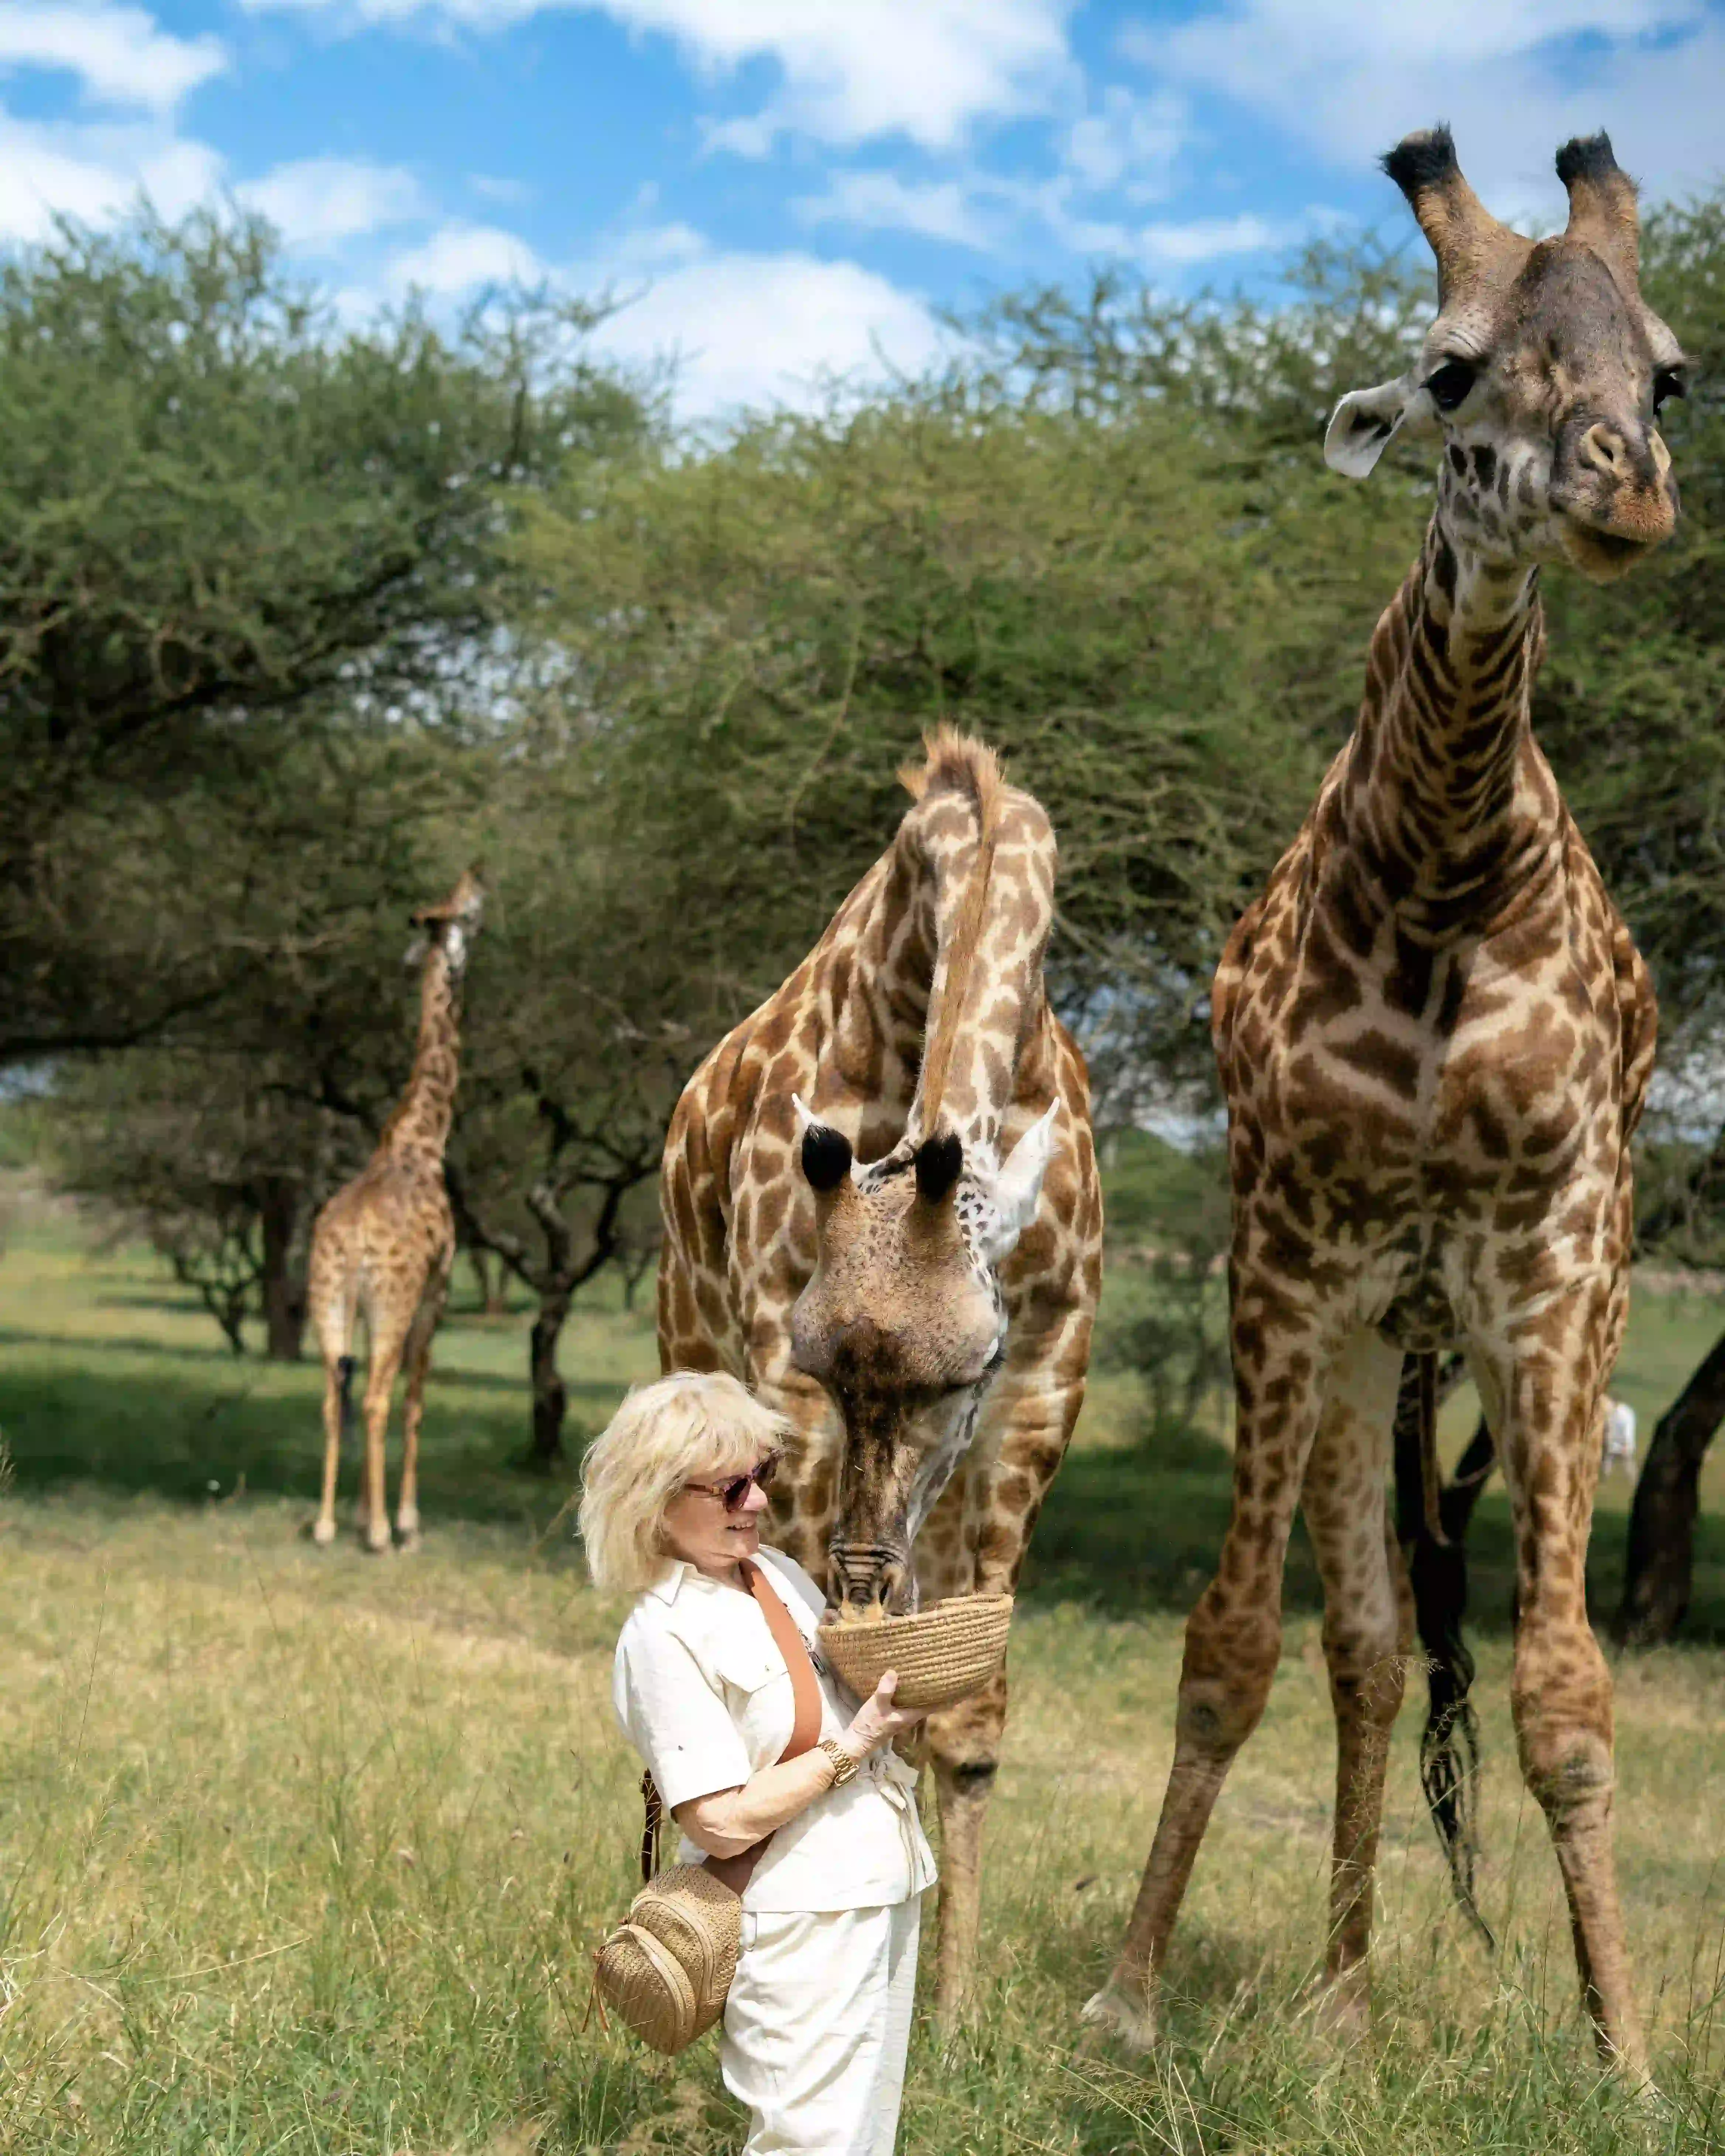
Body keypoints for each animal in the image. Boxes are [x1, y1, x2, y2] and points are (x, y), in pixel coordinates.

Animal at [308, 867, 484, 1553]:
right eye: (469, 914)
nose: (477, 878)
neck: (420, 1140)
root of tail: (354, 1244)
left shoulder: (361, 1305)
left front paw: (360, 1512)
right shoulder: (437, 1289)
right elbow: (415, 1399)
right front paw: (402, 1519)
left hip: (330, 1299)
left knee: (335, 1394)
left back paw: (327, 1525)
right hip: (393, 1298)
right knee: (380, 1397)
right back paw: (384, 1533)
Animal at [659, 729, 1103, 2017]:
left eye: (964, 1374)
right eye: (827, 1363)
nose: (865, 1580)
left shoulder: (1046, 1372)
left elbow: (970, 1711)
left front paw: (949, 2010)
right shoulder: (780, 1362)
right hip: (686, 1328)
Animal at [1084, 128, 1679, 2074]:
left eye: (1667, 373)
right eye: (1446, 369)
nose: (1628, 492)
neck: (1436, 876)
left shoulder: (1559, 1272)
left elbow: (1563, 1690)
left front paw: (1624, 2054)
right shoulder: (1283, 1261)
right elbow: (1228, 1649)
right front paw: (1126, 1997)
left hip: (1449, 1327)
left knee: (1395, 1646)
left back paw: (1356, 2000)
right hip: (1364, 1341)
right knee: (1354, 1646)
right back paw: (1336, 2002)